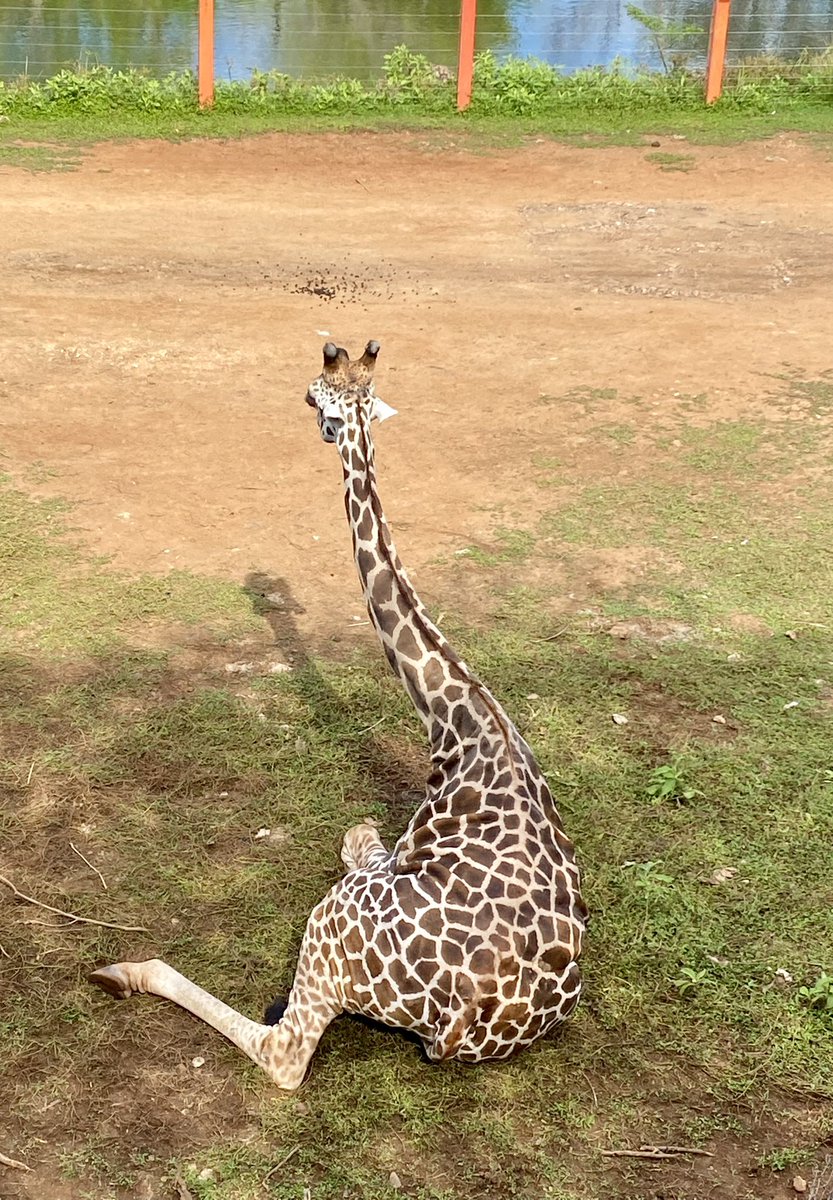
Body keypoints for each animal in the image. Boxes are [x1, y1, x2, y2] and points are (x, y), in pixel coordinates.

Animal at [88, 341, 588, 1089]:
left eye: (313, 396)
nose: (304, 404)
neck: (462, 721)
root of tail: (468, 1024)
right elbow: (363, 836)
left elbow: (357, 841)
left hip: (330, 927)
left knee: (284, 1054)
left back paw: (125, 969)